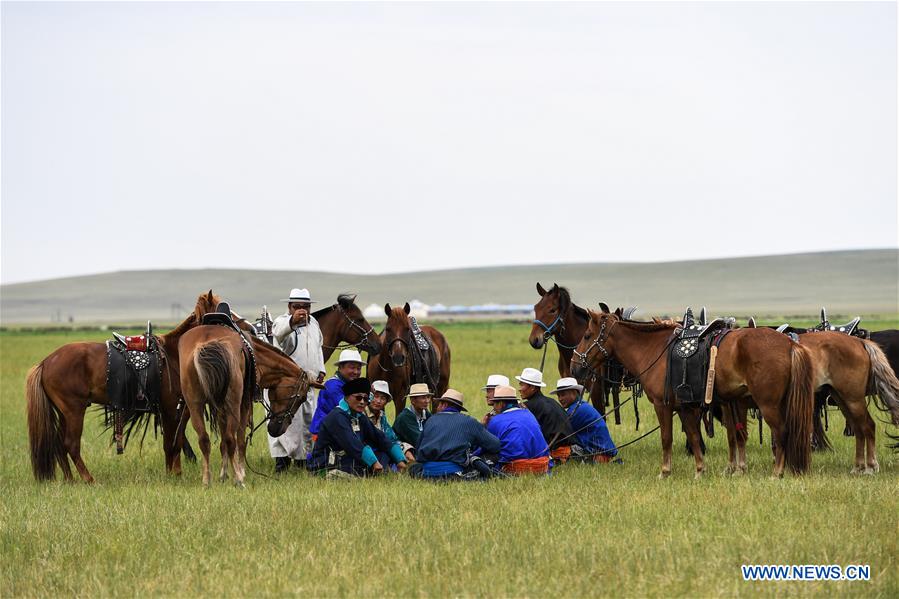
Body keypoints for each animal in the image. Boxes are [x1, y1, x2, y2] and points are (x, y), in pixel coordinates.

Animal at [25, 290, 223, 482]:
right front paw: (172, 475)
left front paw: (175, 472)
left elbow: (177, 440)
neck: (174, 354)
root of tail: (45, 362)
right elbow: (171, 443)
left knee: (59, 444)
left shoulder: (178, 409)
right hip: (74, 410)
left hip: (64, 412)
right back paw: (88, 479)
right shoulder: (169, 407)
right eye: (218, 313)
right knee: (70, 444)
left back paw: (70, 479)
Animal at [178, 324, 318, 488]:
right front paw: (240, 471)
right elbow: (240, 440)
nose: (277, 429)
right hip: (233, 402)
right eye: (301, 398)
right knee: (231, 438)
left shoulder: (220, 408)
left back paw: (207, 480)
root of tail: (206, 342)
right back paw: (239, 480)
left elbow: (222, 443)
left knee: (204, 439)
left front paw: (223, 474)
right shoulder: (244, 404)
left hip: (195, 405)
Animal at [572, 308, 820, 480]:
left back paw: (777, 473)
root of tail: (789, 343)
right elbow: (693, 436)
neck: (655, 350)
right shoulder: (684, 406)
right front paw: (700, 470)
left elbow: (666, 438)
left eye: (587, 335)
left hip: (768, 404)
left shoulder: (663, 405)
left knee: (781, 432)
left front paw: (665, 472)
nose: (575, 367)